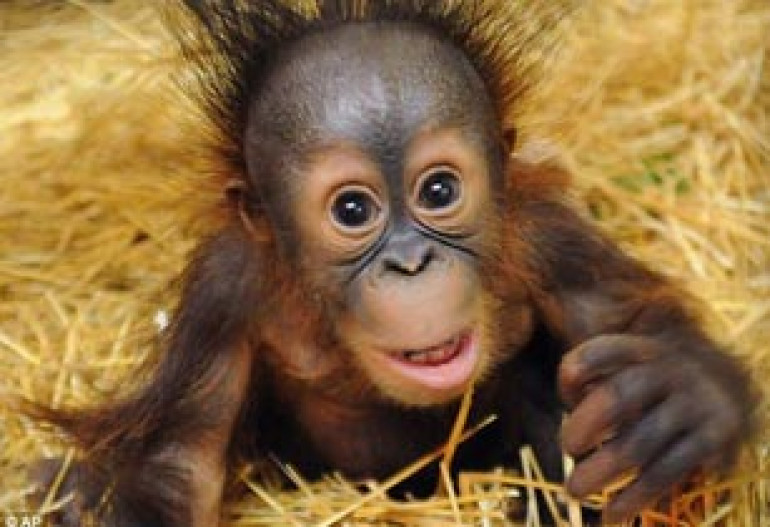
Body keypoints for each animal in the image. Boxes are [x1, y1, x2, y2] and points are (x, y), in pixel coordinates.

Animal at [30, 1, 756, 526]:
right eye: (353, 209)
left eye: (438, 191)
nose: (411, 263)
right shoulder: (223, 291)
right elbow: (182, 466)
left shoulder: (543, 236)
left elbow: (626, 320)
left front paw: (684, 396)